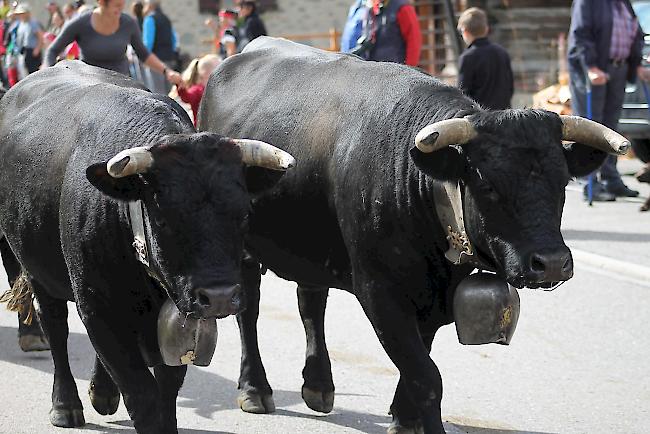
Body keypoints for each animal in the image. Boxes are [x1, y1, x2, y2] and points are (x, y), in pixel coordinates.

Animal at [0, 62, 292, 434]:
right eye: (164, 219)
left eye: (242, 215)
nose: (220, 296)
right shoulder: (96, 305)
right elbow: (142, 393)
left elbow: (167, 388)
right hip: (37, 271)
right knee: (55, 327)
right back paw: (65, 404)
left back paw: (102, 393)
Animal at [199, 38, 628, 434]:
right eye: (487, 185)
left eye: (563, 182)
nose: (551, 262)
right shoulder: (379, 291)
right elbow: (426, 375)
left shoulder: (433, 298)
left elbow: (419, 361)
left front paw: (403, 418)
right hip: (240, 247)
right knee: (249, 310)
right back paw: (254, 388)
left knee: (311, 302)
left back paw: (319, 385)